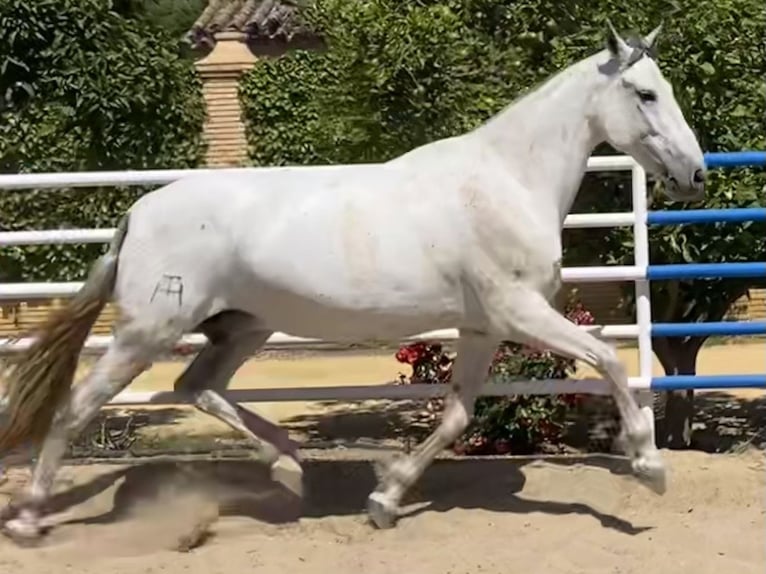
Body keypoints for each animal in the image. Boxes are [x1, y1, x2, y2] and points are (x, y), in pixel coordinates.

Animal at [0, 22, 708, 544]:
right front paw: (649, 467)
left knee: (194, 387)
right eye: (645, 93)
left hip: (240, 329)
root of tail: (137, 213)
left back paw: (289, 466)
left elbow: (457, 415)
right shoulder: (520, 313)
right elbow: (609, 359)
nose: (695, 174)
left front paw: (384, 497)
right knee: (78, 407)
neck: (505, 181)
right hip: (147, 331)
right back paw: (31, 518)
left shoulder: (481, 326)